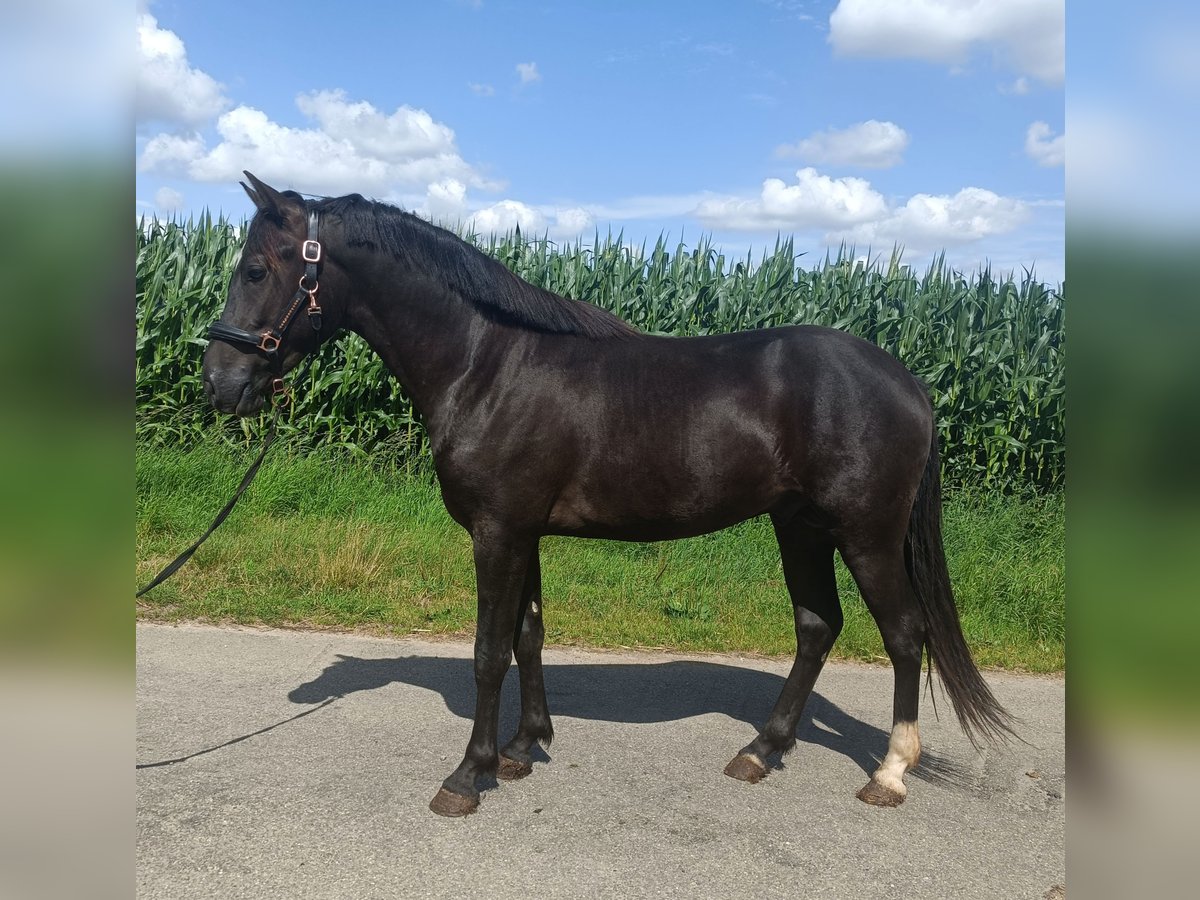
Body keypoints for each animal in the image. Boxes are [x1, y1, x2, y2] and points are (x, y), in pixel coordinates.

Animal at [201, 170, 1008, 816]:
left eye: (257, 269)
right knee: (817, 626)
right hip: (799, 526)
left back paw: (890, 772)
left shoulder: (497, 531)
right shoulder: (522, 532)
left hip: (865, 533)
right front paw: (523, 749)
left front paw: (468, 776)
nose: (219, 383)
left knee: (904, 634)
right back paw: (761, 751)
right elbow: (527, 635)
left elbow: (488, 650)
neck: (485, 363)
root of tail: (911, 383)